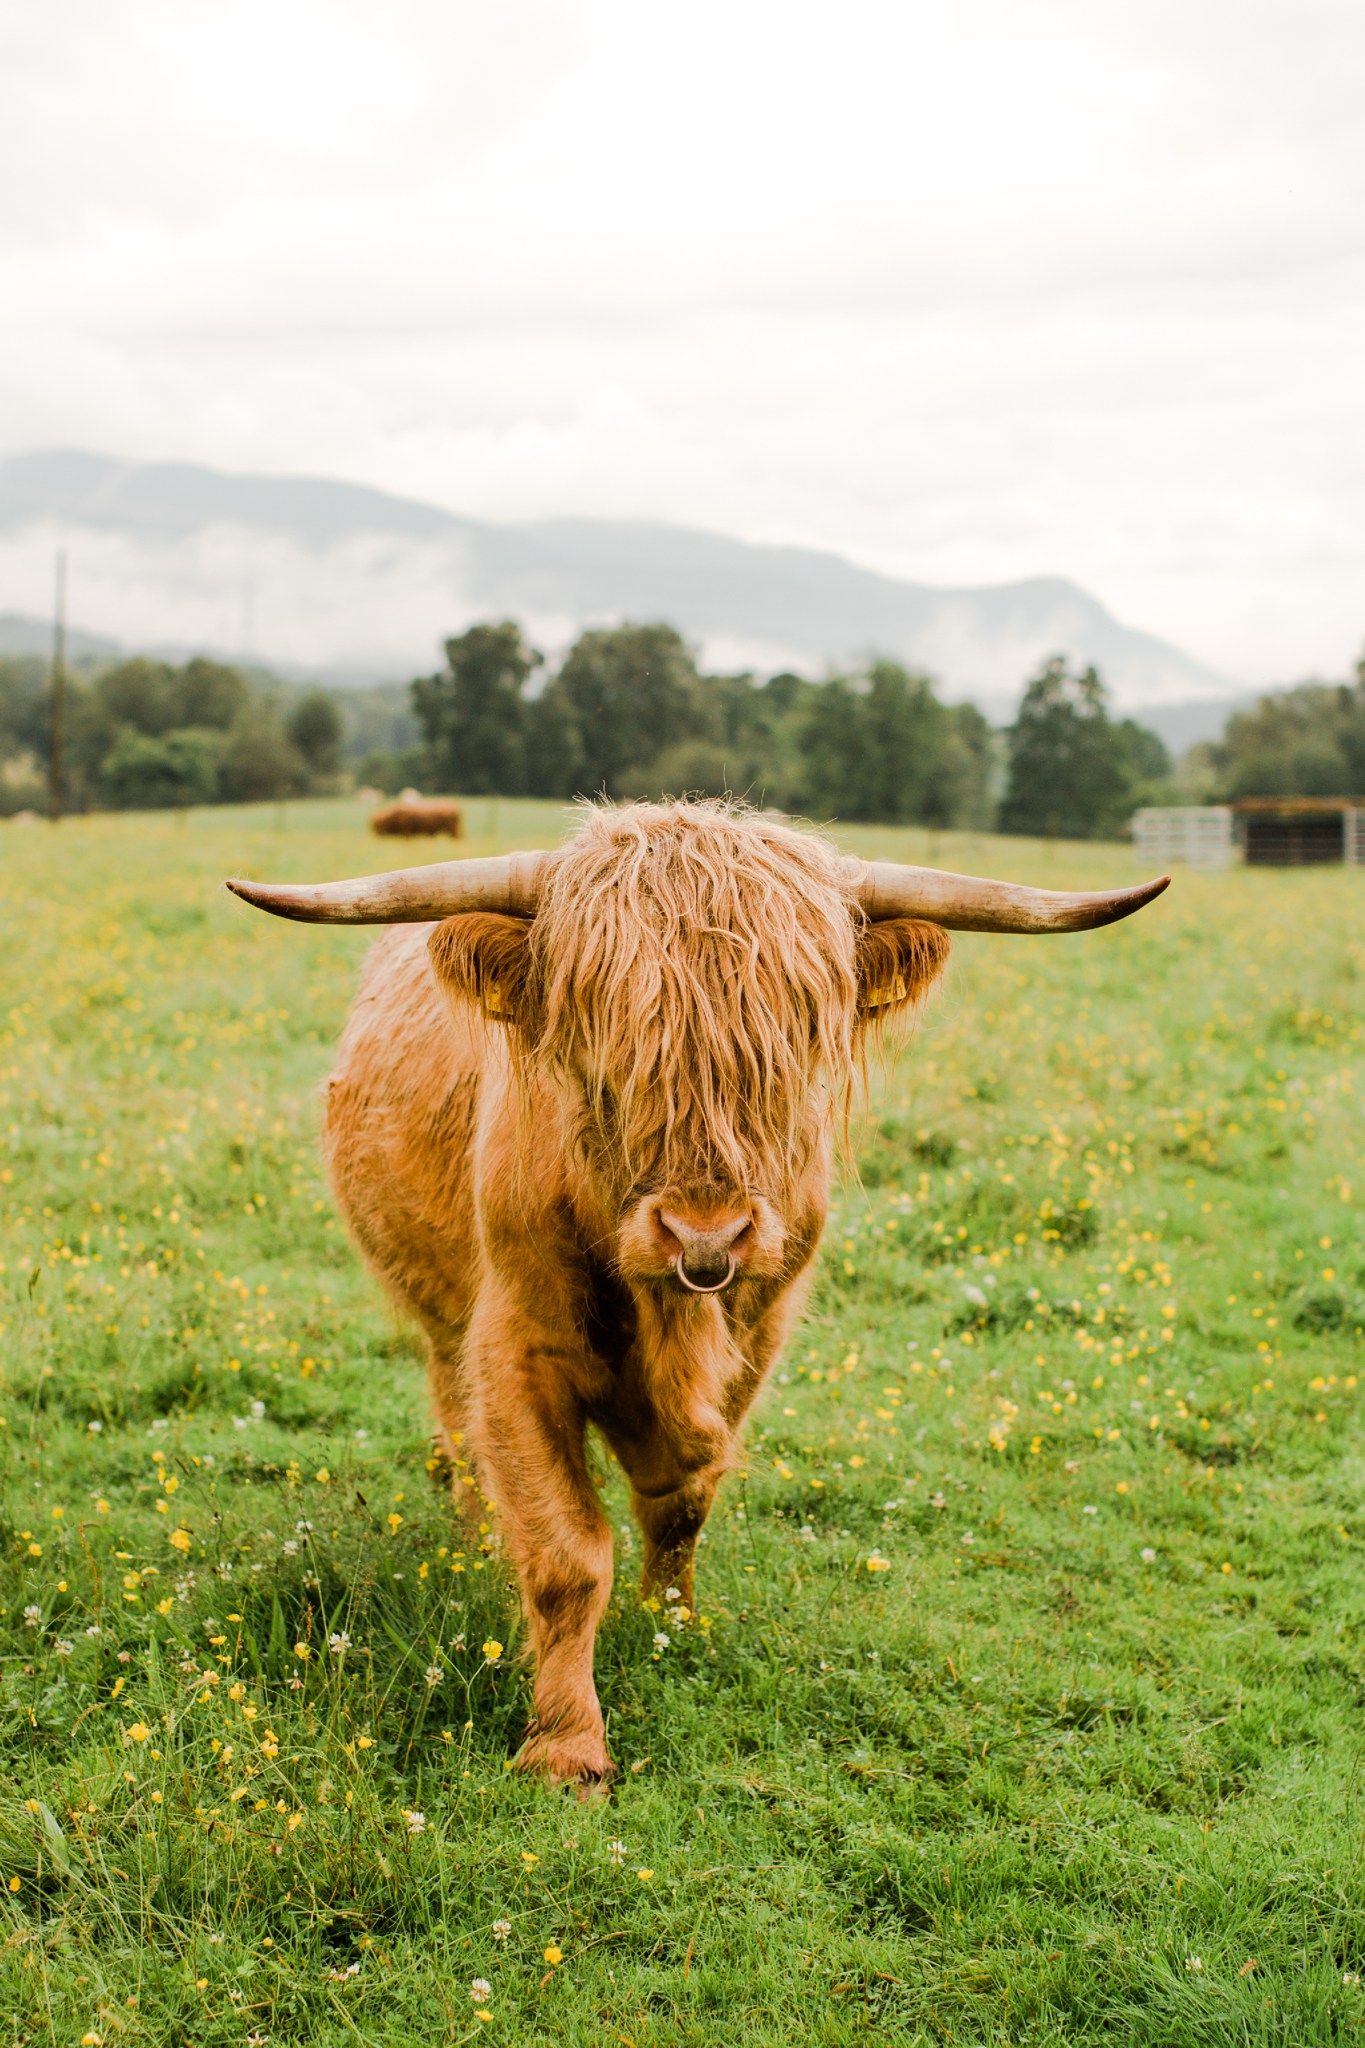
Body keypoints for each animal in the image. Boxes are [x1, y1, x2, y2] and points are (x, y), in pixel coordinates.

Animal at [229, 806, 1170, 1785]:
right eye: (603, 1049)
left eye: (795, 1045)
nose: (705, 1236)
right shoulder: (517, 1345)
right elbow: (566, 1553)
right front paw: (565, 1747)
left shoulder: (757, 1337)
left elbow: (681, 1501)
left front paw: (668, 1625)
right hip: (443, 1324)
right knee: (459, 1436)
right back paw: (475, 1546)